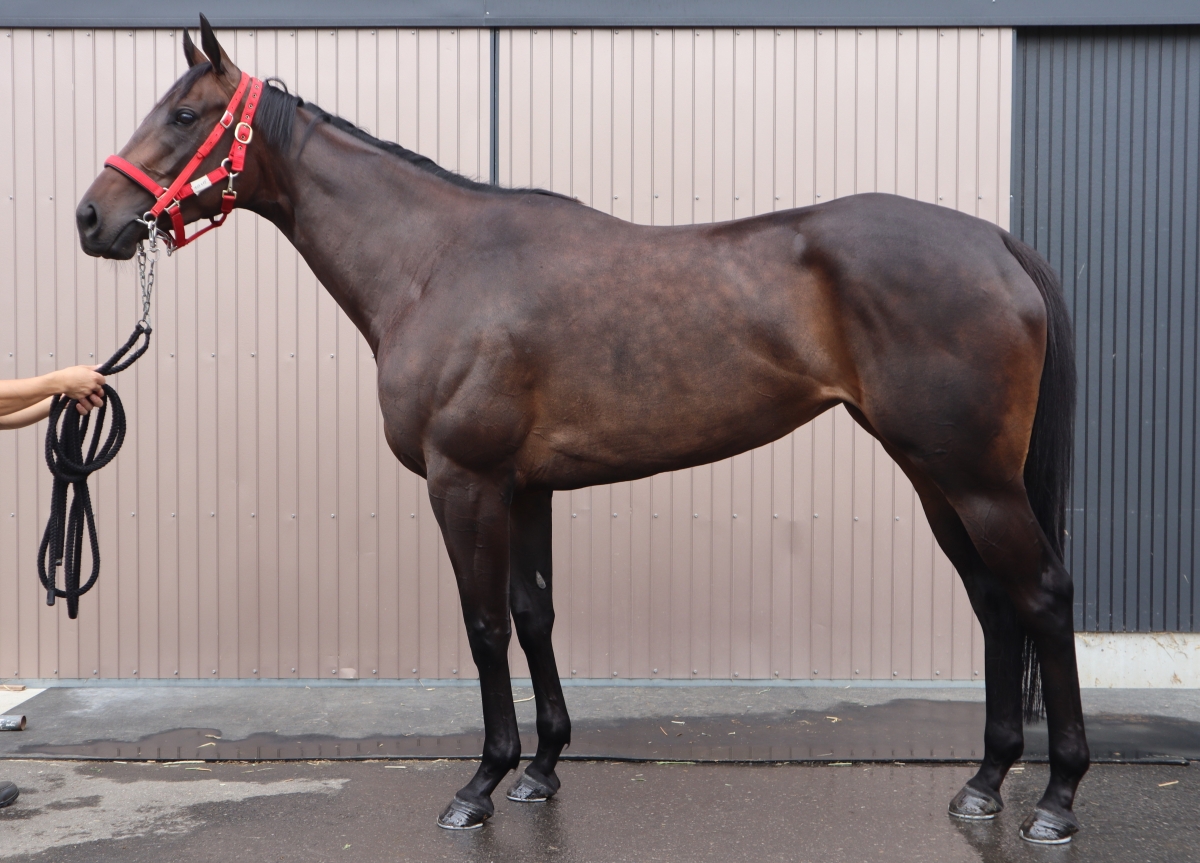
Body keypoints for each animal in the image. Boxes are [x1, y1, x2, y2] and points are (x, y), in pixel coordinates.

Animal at [76, 16, 1087, 843]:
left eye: (184, 113)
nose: (92, 217)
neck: (434, 262)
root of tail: (994, 241)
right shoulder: (528, 486)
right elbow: (534, 614)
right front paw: (542, 768)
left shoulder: (466, 480)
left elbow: (484, 622)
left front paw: (480, 783)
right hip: (934, 472)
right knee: (993, 602)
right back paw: (985, 781)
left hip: (976, 478)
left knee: (1040, 594)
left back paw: (1055, 798)